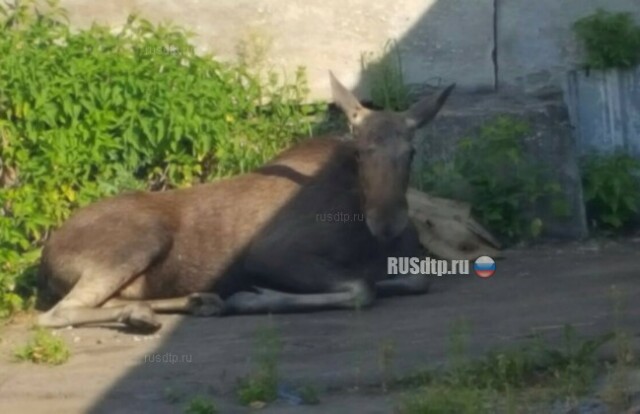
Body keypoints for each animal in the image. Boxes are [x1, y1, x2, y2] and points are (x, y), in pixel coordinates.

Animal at [36, 71, 456, 330]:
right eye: (358, 152)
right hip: (140, 242)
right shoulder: (270, 253)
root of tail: (44, 258)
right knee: (57, 313)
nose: (387, 222)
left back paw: (190, 303)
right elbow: (363, 288)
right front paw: (252, 298)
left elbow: (410, 280)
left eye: (411, 153)